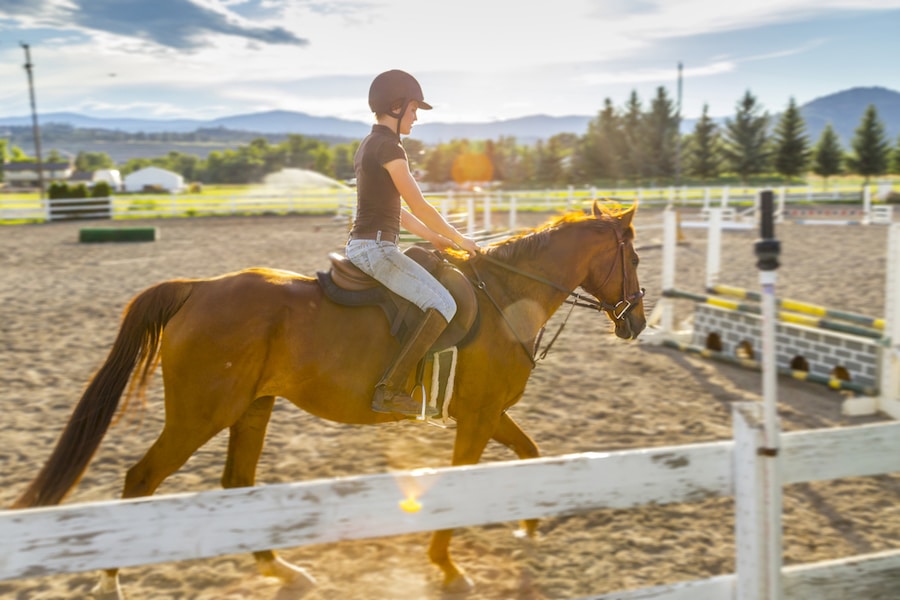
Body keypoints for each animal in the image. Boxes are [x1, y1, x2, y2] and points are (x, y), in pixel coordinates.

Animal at [10, 200, 644, 596]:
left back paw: (281, 570)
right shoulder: (478, 415)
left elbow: (532, 454)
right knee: (140, 480)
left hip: (252, 408)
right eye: (635, 257)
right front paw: (446, 567)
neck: (506, 296)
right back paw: (110, 579)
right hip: (200, 415)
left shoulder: (488, 413)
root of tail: (197, 288)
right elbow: (462, 484)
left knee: (236, 483)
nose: (636, 322)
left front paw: (529, 524)